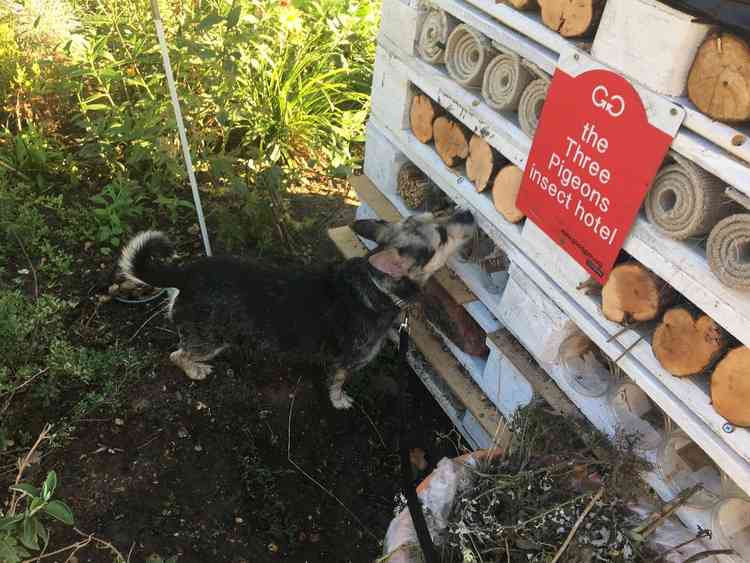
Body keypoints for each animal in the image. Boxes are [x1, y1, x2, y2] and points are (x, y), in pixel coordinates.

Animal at [117, 210, 476, 410]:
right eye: (442, 235)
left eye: (436, 215)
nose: (468, 214)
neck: (377, 285)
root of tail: (185, 273)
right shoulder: (345, 363)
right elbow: (336, 384)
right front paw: (339, 402)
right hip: (209, 340)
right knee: (177, 355)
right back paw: (195, 370)